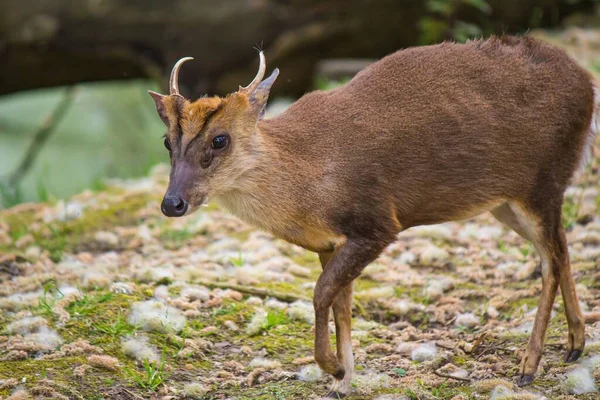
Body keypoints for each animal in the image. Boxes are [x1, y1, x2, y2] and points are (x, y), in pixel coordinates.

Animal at [148, 35, 596, 396]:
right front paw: (342, 381)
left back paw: (529, 366)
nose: (172, 203)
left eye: (220, 139)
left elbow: (321, 293)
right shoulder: (328, 242)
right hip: (507, 201)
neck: (307, 177)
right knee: (562, 248)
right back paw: (575, 345)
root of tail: (588, 83)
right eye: (167, 141)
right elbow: (341, 304)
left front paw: (332, 368)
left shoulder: (377, 222)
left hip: (542, 180)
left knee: (551, 259)